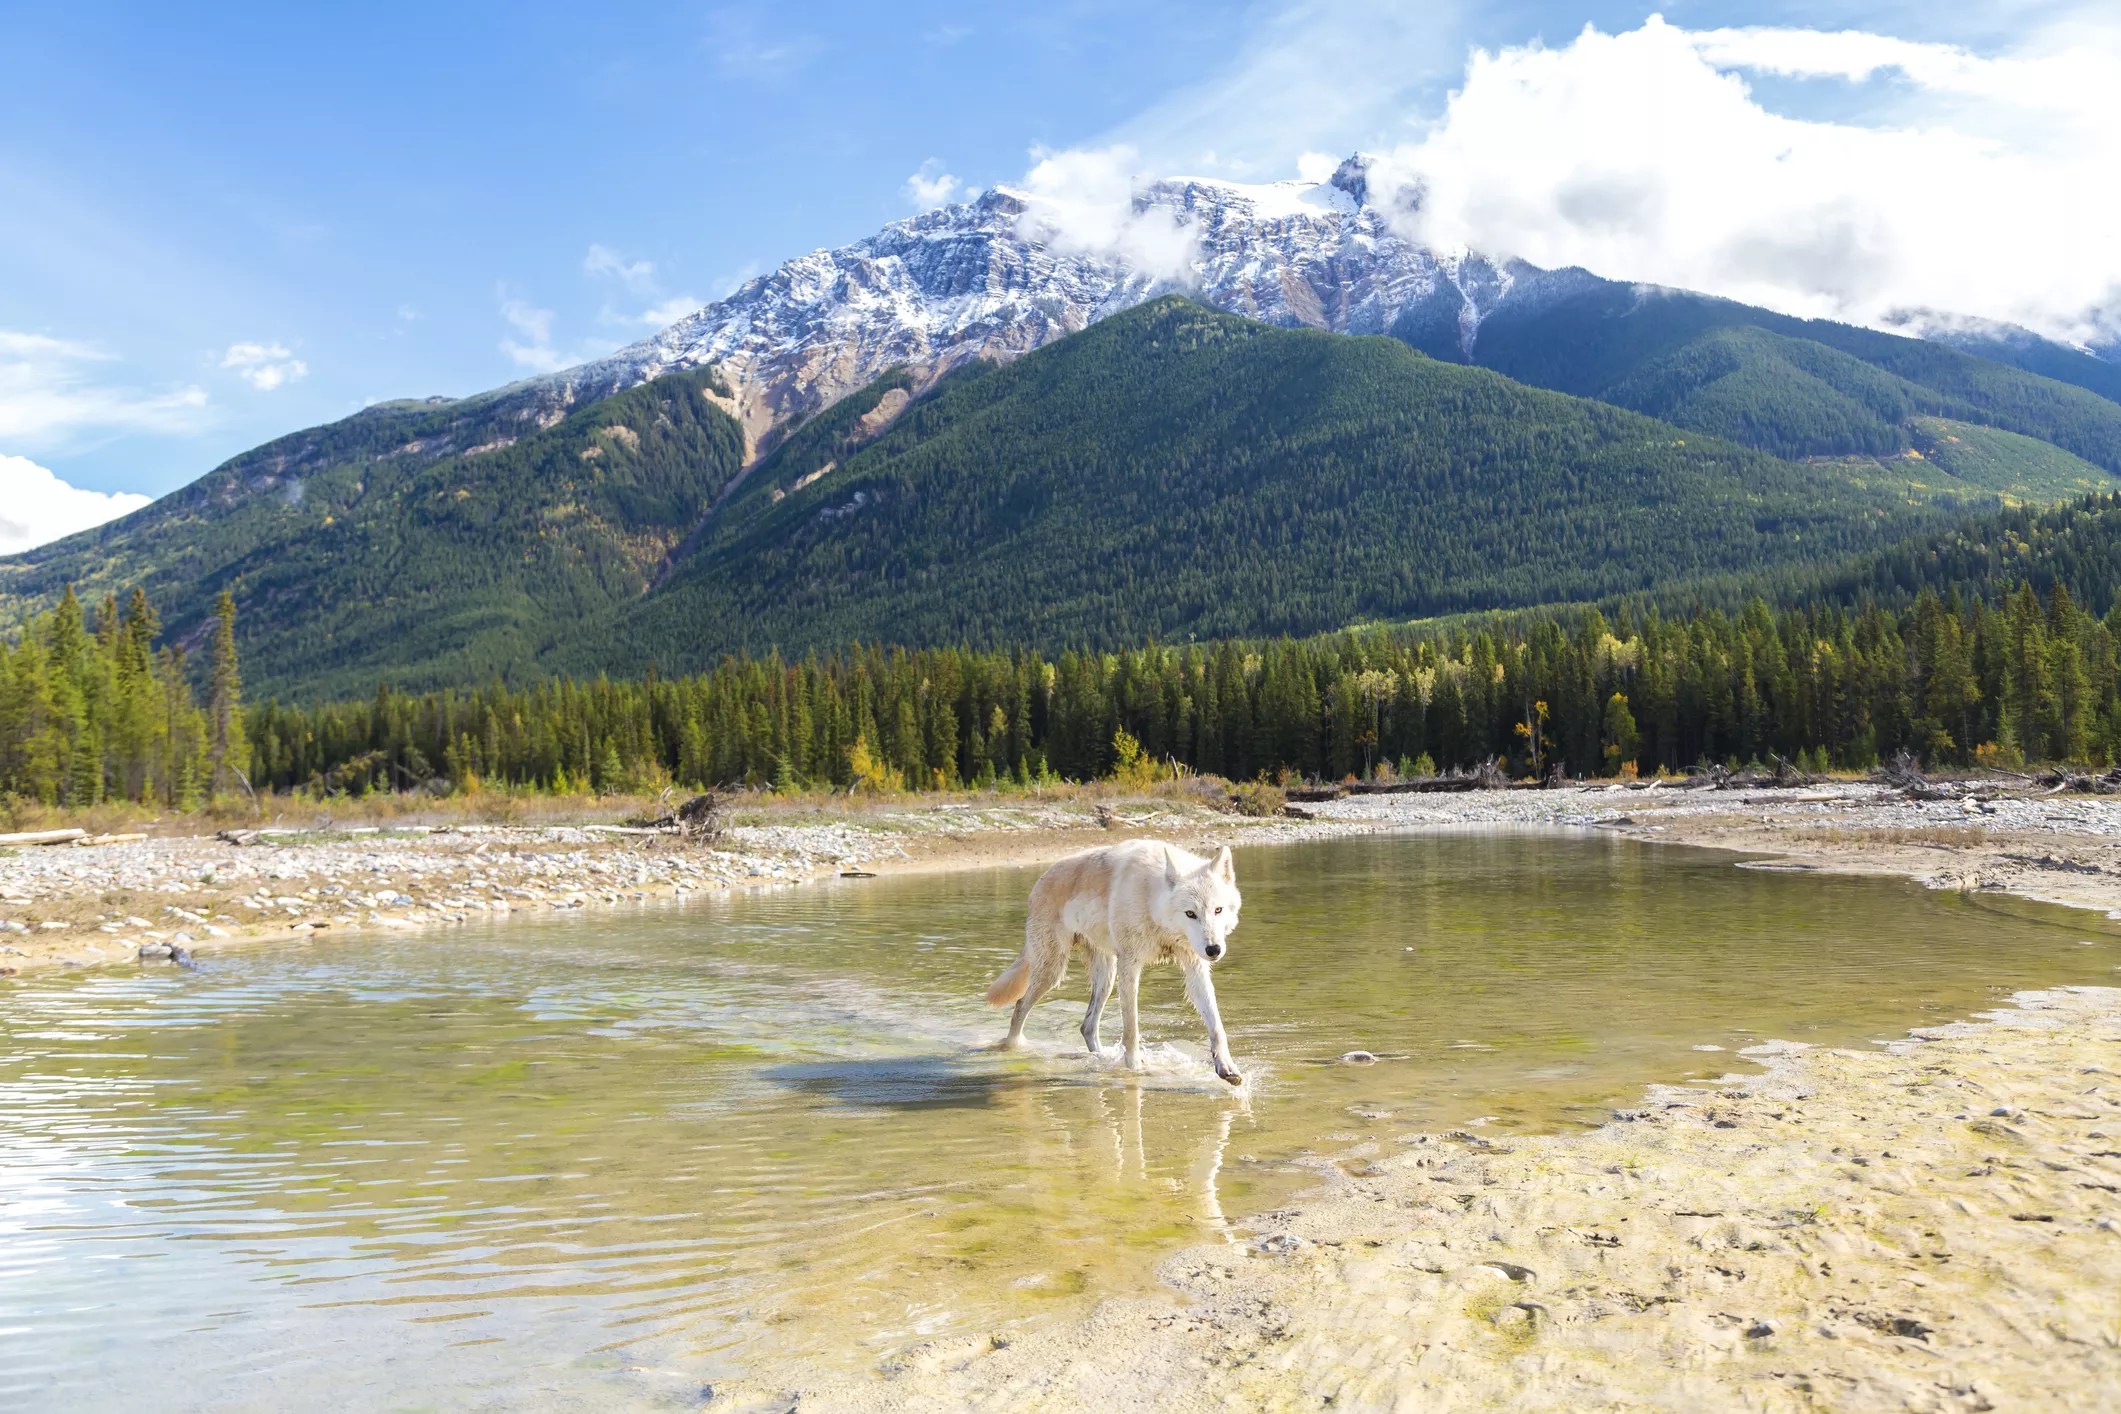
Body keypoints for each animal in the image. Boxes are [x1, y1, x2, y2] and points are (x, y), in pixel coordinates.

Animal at [985, 840, 1244, 1085]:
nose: (1214, 950)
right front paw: (1135, 1069)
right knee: (1020, 1006)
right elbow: (1131, 1027)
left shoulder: (1194, 966)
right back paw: (1014, 1050)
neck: (1150, 900)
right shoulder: (1130, 966)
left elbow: (1216, 1025)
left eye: (1218, 910)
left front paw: (1227, 1067)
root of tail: (1038, 883)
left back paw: (1101, 1060)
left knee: (1087, 1026)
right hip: (1053, 972)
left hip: (1105, 978)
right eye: (1190, 913)